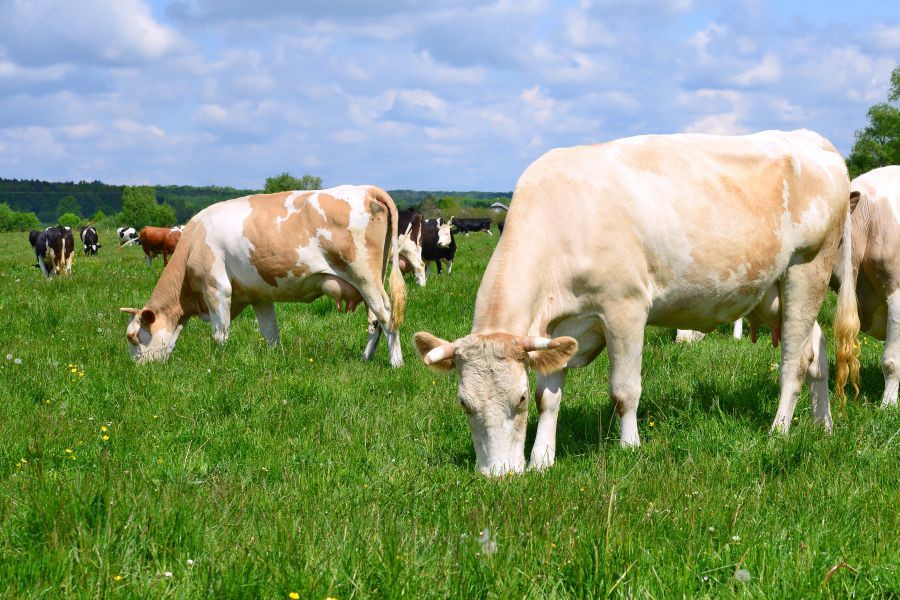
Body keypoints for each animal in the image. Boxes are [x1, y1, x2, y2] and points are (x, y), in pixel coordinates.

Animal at [118, 185, 406, 366]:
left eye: (134, 337)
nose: (137, 370)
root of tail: (366, 189)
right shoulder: (259, 296)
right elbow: (270, 333)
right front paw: (275, 359)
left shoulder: (216, 289)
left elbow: (220, 334)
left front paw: (218, 363)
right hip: (372, 277)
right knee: (375, 320)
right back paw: (366, 357)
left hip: (364, 275)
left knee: (386, 313)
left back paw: (396, 362)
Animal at [414, 129, 856, 476]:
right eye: (464, 403)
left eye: (517, 399)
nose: (499, 475)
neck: (560, 222)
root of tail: (809, 138)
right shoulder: (556, 329)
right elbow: (550, 397)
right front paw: (542, 459)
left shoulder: (624, 309)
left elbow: (623, 390)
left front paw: (629, 447)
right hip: (771, 291)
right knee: (815, 350)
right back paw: (824, 425)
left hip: (806, 271)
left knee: (793, 362)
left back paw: (779, 430)